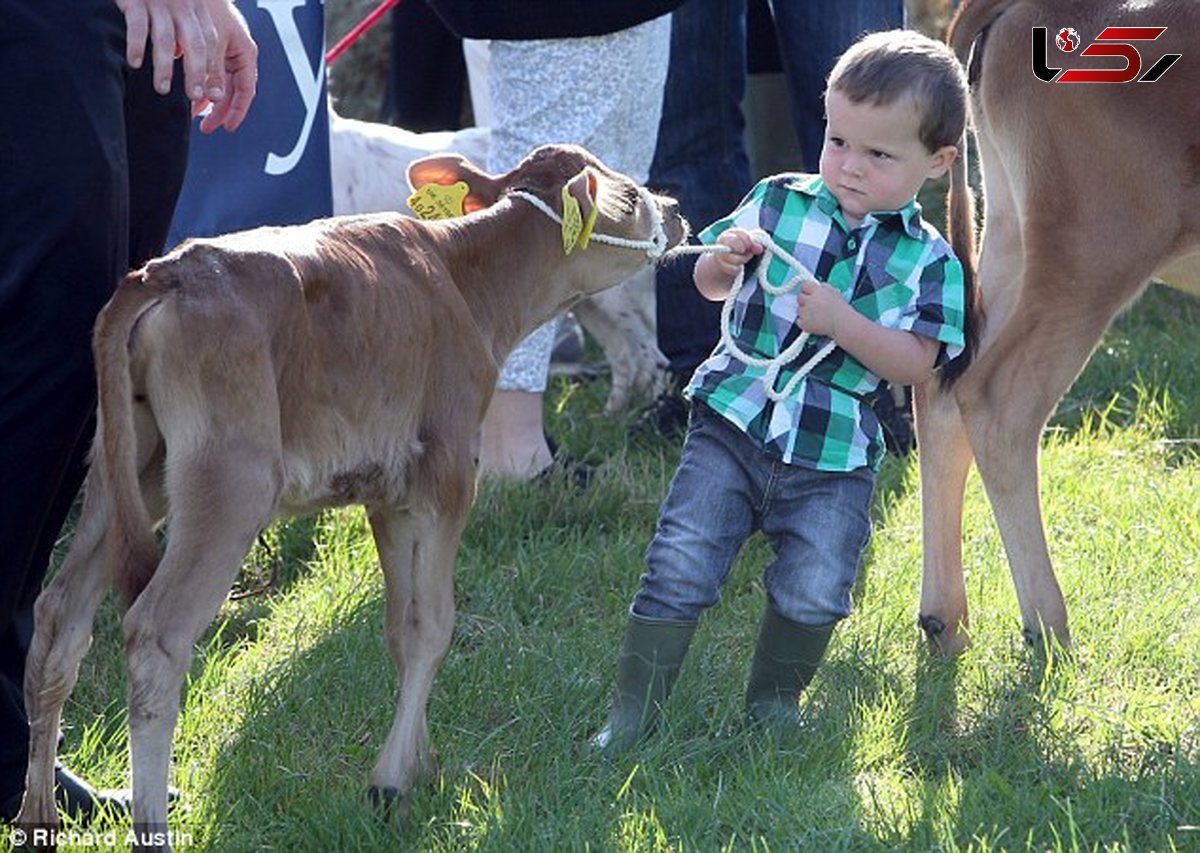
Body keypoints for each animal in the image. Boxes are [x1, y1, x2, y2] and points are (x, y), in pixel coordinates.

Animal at [16, 143, 686, 844]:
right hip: (230, 483)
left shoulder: (387, 491)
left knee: (59, 616)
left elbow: (401, 626)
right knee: (155, 636)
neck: (462, 281)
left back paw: (39, 813)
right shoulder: (447, 474)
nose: (674, 210)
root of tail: (169, 271)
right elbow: (433, 624)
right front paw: (391, 783)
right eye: (630, 197)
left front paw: (422, 765)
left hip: (129, 471)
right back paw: (151, 825)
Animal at [912, 0, 1195, 652]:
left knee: (942, 391)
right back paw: (1046, 623)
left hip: (1011, 235)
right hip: (1095, 248)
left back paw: (945, 618)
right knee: (998, 402)